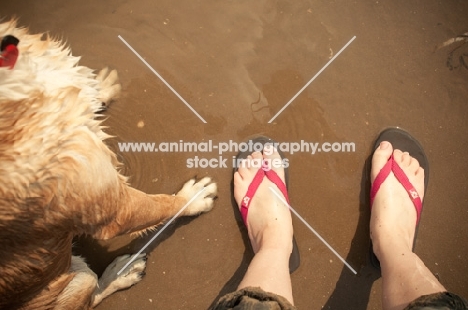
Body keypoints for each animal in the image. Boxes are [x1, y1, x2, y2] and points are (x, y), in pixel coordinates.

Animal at [0, 20, 217, 310]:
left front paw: (98, 87)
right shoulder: (114, 205)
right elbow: (160, 204)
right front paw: (191, 199)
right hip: (79, 279)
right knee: (92, 296)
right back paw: (120, 274)